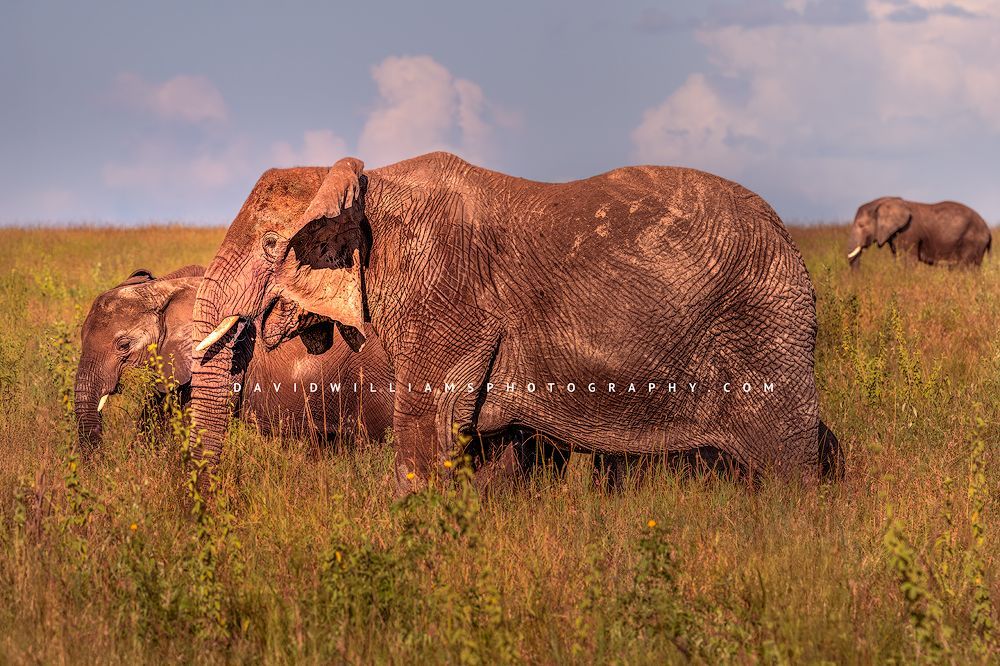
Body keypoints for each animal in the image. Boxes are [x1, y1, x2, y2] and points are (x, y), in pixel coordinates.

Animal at [191, 151, 823, 496]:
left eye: (271, 244)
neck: (366, 180)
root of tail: (788, 239)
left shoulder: (447, 296)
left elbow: (424, 432)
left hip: (764, 327)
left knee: (792, 463)